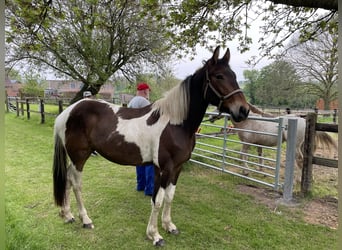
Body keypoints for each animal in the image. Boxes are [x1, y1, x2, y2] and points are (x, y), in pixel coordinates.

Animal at [52, 46, 248, 246]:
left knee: (67, 179)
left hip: (76, 158)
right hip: (79, 157)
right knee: (76, 183)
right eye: (219, 76)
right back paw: (85, 219)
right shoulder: (163, 168)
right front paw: (155, 235)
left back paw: (67, 215)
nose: (243, 110)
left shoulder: (177, 168)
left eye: (233, 75)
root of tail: (68, 112)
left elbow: (170, 196)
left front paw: (169, 226)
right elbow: (158, 200)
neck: (176, 124)